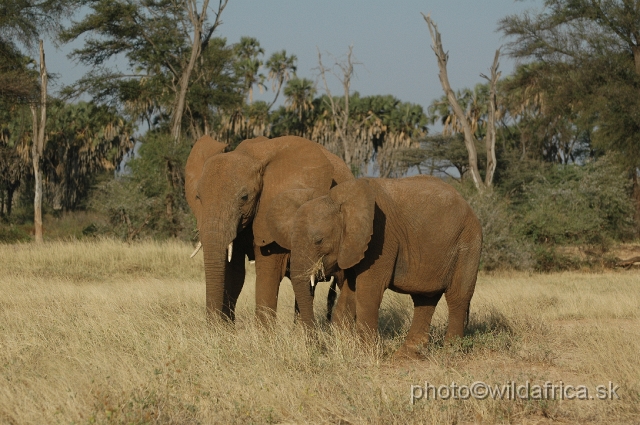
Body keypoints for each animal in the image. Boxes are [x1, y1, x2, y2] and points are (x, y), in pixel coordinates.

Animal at [264, 174, 480, 356]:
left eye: (319, 240)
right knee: (424, 299)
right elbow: (349, 294)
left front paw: (366, 354)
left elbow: (369, 292)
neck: (341, 202)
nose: (319, 347)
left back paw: (451, 353)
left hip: (467, 243)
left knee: (457, 297)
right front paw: (344, 347)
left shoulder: (380, 238)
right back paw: (407, 356)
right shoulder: (353, 246)